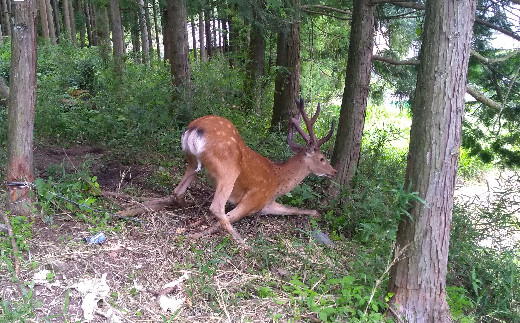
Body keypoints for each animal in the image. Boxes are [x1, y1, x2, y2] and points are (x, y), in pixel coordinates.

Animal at [174, 97, 338, 244]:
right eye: (322, 158)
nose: (334, 171)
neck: (278, 180)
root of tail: (194, 129)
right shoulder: (254, 199)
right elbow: (221, 220)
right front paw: (195, 233)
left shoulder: (268, 203)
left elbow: (293, 209)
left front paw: (316, 213)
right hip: (228, 169)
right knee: (217, 207)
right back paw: (243, 243)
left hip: (192, 161)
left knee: (178, 190)